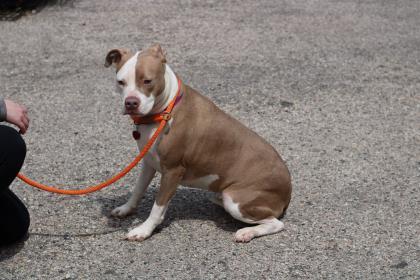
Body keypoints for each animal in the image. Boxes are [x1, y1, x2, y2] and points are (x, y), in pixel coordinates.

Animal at [104, 43, 292, 243]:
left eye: (148, 81)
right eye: (121, 82)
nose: (131, 102)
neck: (164, 110)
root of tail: (288, 191)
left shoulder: (173, 171)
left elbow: (158, 206)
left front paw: (144, 230)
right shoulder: (149, 161)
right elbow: (138, 189)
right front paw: (126, 209)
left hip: (235, 200)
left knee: (276, 223)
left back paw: (247, 232)